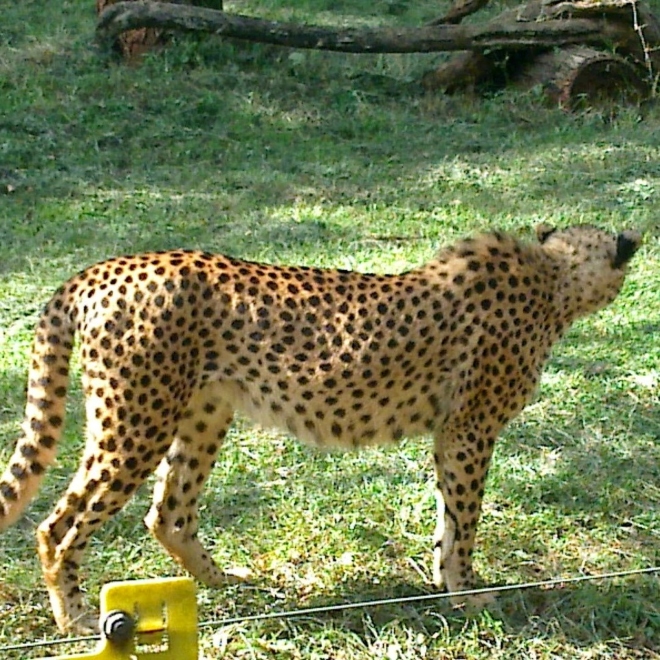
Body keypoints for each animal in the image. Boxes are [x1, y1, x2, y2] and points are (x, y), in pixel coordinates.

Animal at [0, 223, 641, 633]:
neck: (552, 277)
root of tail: (101, 269)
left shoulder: (450, 433)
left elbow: (448, 516)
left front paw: (446, 581)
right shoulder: (469, 428)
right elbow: (464, 518)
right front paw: (467, 593)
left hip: (204, 411)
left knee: (168, 513)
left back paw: (226, 584)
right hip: (136, 422)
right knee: (58, 525)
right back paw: (77, 618)